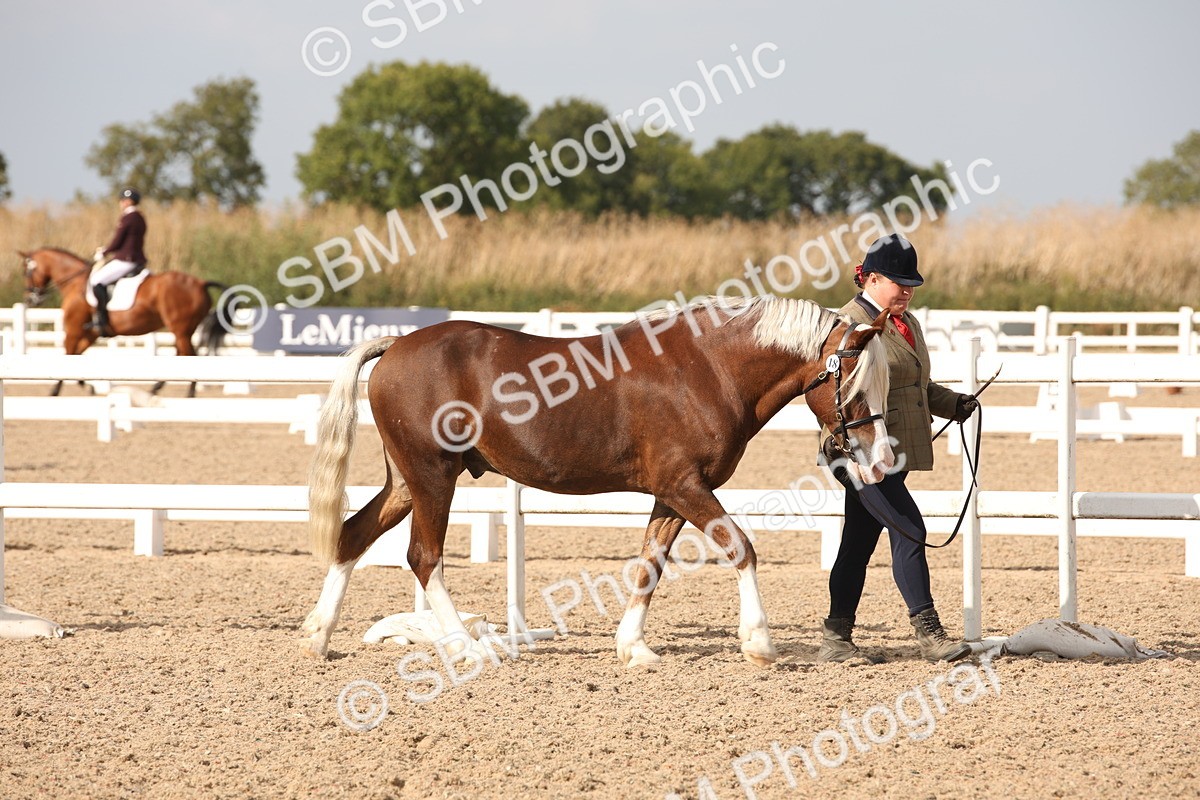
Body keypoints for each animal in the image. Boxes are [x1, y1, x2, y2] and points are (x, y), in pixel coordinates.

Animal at [19, 247, 230, 397]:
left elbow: (69, 356)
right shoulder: (90, 334)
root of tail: (200, 283)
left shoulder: (73, 329)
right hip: (183, 330)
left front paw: (56, 390)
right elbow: (77, 355)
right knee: (182, 354)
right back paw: (157, 387)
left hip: (181, 329)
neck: (76, 283)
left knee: (190, 355)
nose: (31, 299)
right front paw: (88, 386)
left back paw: (189, 391)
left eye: (27, 272)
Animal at [301, 295, 895, 668]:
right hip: (432, 478)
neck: (708, 370)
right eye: (855, 385)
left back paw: (319, 637)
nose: (882, 460)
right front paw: (759, 644)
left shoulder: (671, 494)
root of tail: (396, 346)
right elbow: (741, 548)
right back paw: (469, 649)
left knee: (353, 536)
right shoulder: (685, 486)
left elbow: (649, 565)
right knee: (424, 558)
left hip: (406, 483)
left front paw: (633, 648)